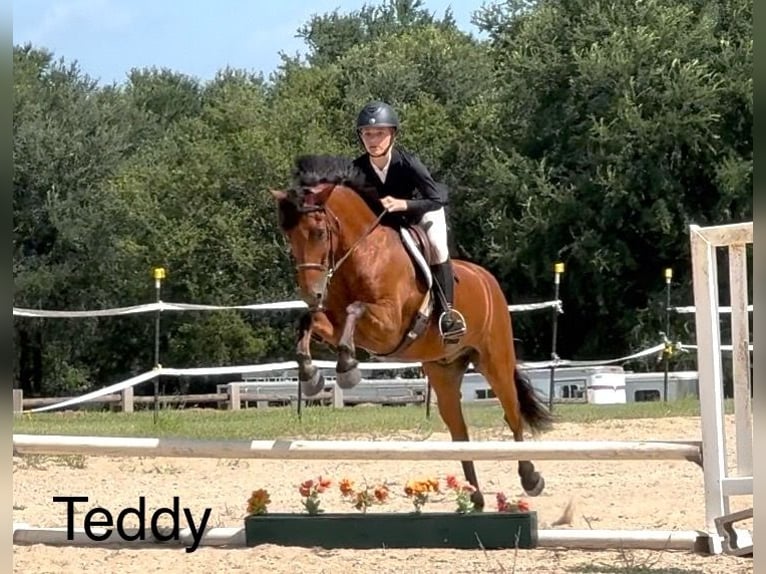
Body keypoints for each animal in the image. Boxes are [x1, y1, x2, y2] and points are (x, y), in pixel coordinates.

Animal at [270, 154, 553, 509]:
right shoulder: (336, 322)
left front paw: (347, 368)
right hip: (444, 372)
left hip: (494, 360)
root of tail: (488, 280)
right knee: (459, 431)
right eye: (288, 236)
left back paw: (531, 479)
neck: (363, 253)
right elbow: (310, 321)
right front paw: (311, 376)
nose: (312, 294)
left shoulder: (388, 324)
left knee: (512, 414)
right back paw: (474, 498)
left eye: (319, 232)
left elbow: (354, 310)